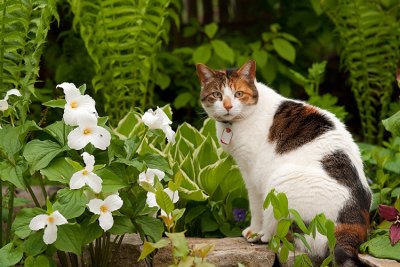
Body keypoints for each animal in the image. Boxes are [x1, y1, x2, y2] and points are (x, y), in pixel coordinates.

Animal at [196, 59, 372, 266]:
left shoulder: (252, 174)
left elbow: (256, 207)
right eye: (217, 95)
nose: (228, 106)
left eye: (238, 94)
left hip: (280, 180)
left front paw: (254, 230)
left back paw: (263, 236)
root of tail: (352, 223)